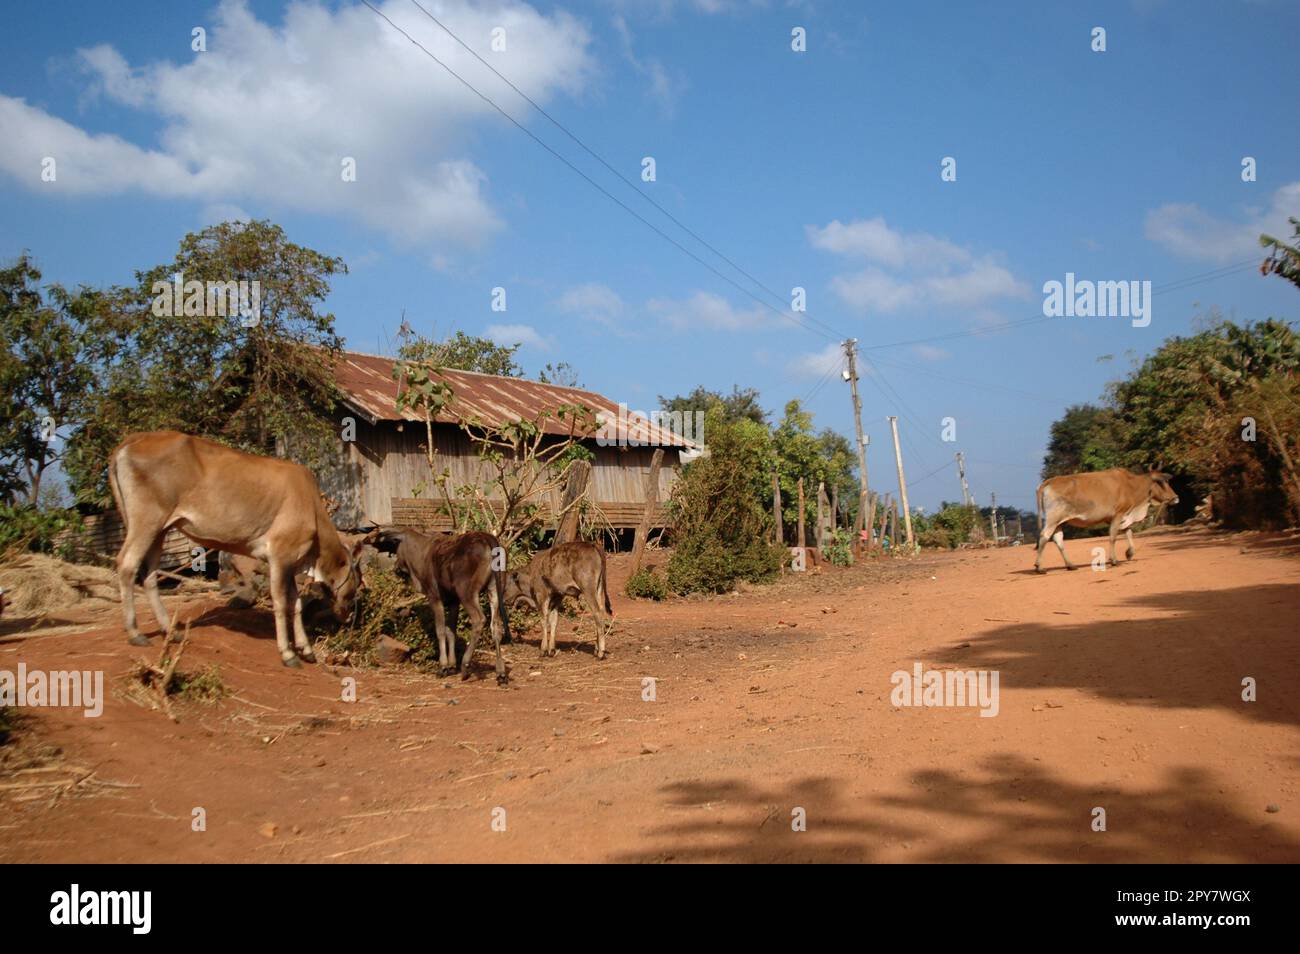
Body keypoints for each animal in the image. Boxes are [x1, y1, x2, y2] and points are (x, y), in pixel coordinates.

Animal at [105, 431, 358, 665]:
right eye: (356, 585)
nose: (348, 615)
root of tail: (133, 440)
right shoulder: (280, 555)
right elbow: (280, 602)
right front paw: (288, 653)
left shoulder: (291, 561)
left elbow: (295, 604)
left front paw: (306, 650)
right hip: (147, 520)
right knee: (127, 564)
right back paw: (135, 633)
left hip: (160, 529)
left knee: (149, 574)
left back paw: (171, 631)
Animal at [371, 527, 512, 686]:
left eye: (395, 547)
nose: (396, 568)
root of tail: (490, 540)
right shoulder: (453, 601)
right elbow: (451, 631)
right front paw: (451, 665)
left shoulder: (434, 597)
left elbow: (440, 631)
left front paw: (443, 666)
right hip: (494, 589)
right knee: (496, 626)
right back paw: (500, 673)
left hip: (467, 592)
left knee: (479, 620)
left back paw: (466, 665)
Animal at [1034, 467, 1180, 571]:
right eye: (1161, 482)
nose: (1176, 498)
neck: (1131, 485)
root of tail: (1049, 481)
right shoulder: (1118, 514)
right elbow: (1113, 537)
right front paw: (1114, 560)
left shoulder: (1120, 517)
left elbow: (1128, 532)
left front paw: (1130, 553)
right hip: (1053, 519)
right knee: (1044, 536)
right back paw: (1039, 567)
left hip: (1060, 522)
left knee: (1058, 540)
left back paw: (1070, 565)